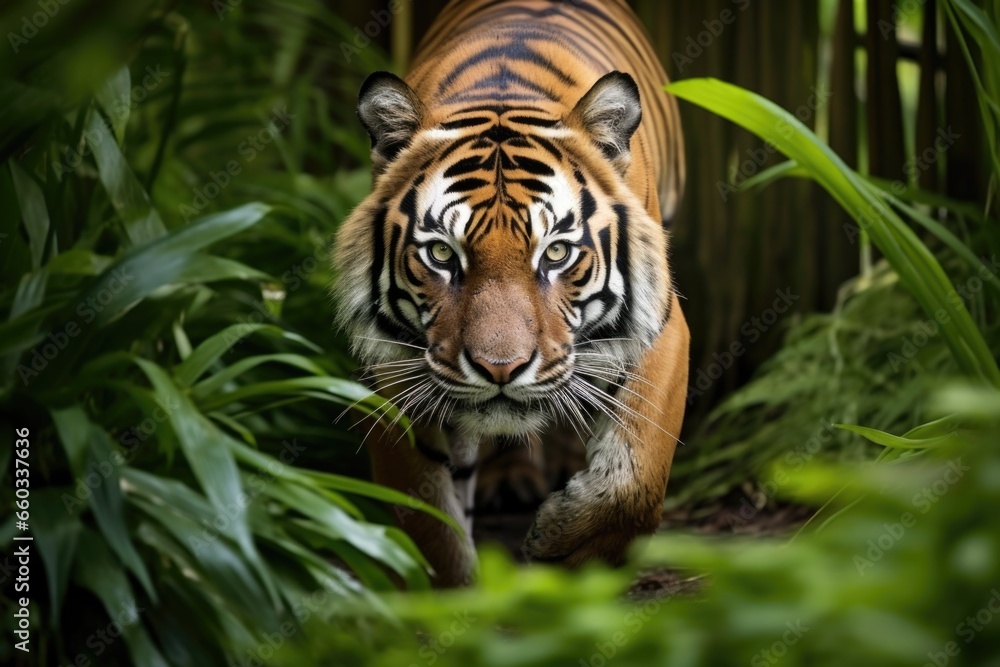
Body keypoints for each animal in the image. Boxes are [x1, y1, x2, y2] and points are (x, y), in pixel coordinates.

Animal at [333, 0, 689, 586]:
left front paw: (565, 548)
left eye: (556, 253)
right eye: (442, 254)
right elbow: (423, 511)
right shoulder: (396, 362)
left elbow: (635, 478)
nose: (501, 369)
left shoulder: (661, 328)